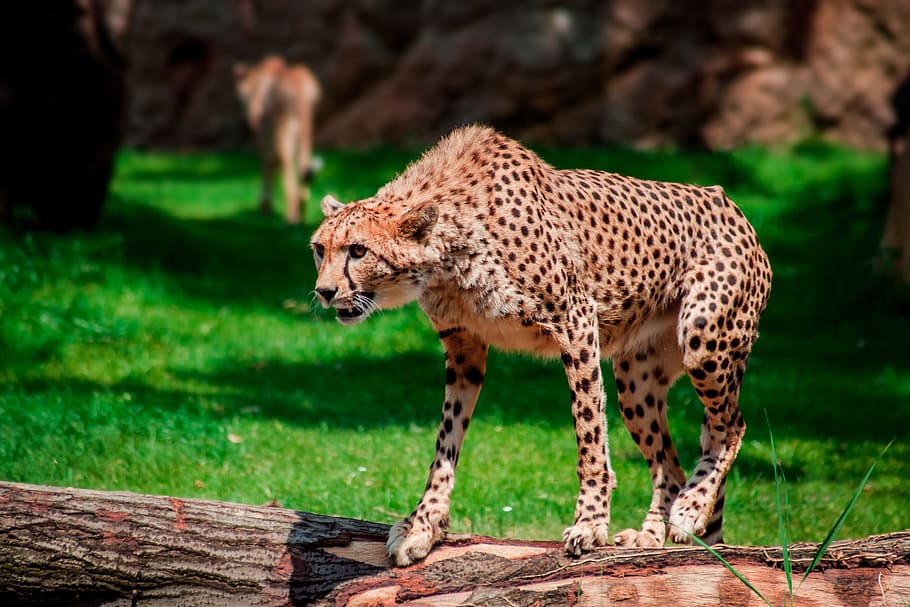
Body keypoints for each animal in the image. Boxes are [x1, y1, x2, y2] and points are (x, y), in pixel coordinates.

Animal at [234, 55, 320, 224]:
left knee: (287, 167)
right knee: (303, 167)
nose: (249, 119)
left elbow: (267, 163)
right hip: (306, 132)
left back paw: (291, 217)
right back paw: (301, 213)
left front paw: (265, 207)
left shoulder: (264, 134)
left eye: (243, 95)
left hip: (283, 130)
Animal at [310, 125, 772, 567]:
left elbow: (588, 433)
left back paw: (691, 508)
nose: (324, 292)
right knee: (670, 466)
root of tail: (724, 200)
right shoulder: (464, 348)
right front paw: (422, 524)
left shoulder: (577, 323)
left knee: (730, 426)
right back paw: (654, 533)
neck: (448, 254)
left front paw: (590, 523)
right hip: (636, 381)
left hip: (703, 337)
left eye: (358, 250)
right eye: (319, 249)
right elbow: (445, 440)